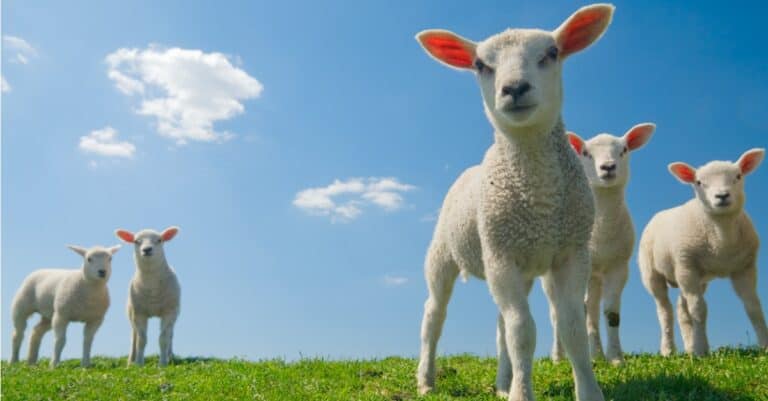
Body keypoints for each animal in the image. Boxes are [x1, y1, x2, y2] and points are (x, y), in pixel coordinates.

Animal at [115, 226, 181, 367]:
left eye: (159, 240)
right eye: (136, 241)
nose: (147, 249)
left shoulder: (169, 312)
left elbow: (164, 338)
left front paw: (163, 364)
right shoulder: (139, 313)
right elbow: (141, 340)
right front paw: (139, 363)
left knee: (171, 335)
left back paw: (170, 356)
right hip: (131, 313)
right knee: (134, 336)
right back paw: (131, 360)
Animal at [415, 4, 614, 401]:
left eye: (551, 53)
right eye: (480, 65)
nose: (515, 88)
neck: (540, 200)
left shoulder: (571, 252)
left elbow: (571, 328)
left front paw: (587, 391)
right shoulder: (501, 254)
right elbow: (522, 332)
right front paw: (523, 393)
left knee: (500, 324)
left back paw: (503, 383)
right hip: (444, 254)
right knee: (434, 316)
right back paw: (427, 380)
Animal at [552, 123, 655, 365]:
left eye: (624, 150)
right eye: (586, 153)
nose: (608, 167)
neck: (601, 231)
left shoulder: (619, 267)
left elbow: (611, 313)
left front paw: (616, 358)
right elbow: (577, 310)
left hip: (595, 277)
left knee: (591, 308)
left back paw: (597, 354)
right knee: (557, 312)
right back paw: (559, 357)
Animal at [638, 148, 768, 356]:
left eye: (738, 176)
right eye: (699, 182)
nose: (722, 196)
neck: (721, 241)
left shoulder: (744, 267)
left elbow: (753, 306)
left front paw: (765, 346)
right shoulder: (687, 265)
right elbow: (698, 309)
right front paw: (700, 350)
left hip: (694, 277)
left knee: (681, 309)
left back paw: (689, 347)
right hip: (653, 272)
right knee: (665, 311)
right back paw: (669, 350)